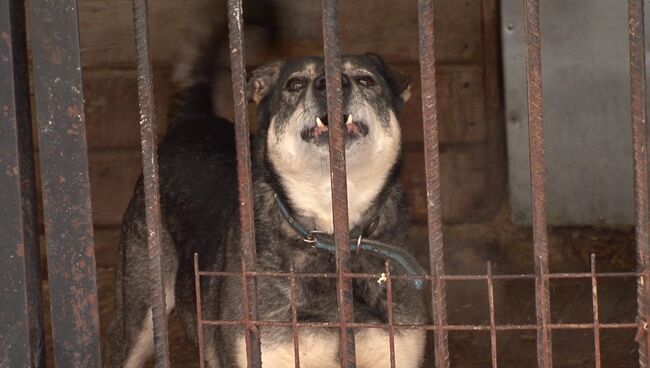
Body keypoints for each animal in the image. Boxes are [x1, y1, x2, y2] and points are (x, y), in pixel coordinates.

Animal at [102, 27, 426, 366]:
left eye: (365, 80)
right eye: (295, 84)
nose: (331, 84)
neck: (328, 231)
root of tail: (192, 121)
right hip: (136, 317)